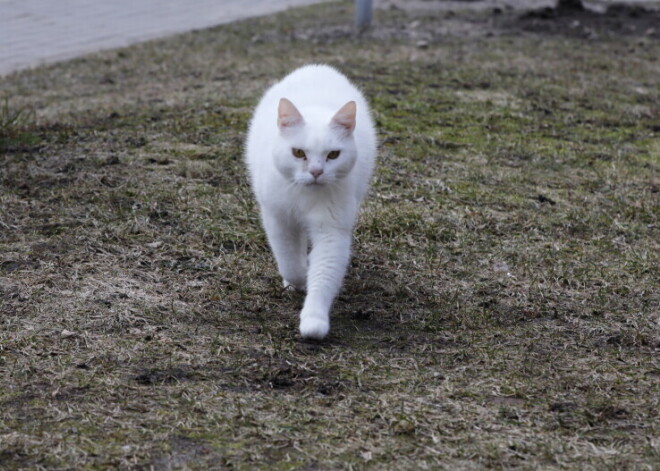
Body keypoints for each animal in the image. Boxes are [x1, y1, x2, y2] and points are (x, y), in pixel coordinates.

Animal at [245, 64, 376, 342]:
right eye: (298, 153)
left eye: (333, 155)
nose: (316, 172)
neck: (305, 195)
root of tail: (317, 67)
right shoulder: (279, 220)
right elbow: (290, 261)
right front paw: (297, 280)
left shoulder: (332, 230)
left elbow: (324, 273)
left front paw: (314, 320)